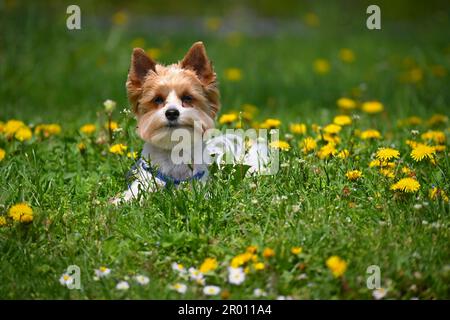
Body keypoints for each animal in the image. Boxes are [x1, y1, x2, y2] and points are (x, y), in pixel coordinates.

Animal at [113, 42, 270, 205]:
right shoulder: (147, 179)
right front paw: (121, 202)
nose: (171, 112)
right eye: (157, 99)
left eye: (187, 98)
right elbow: (133, 193)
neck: (174, 151)